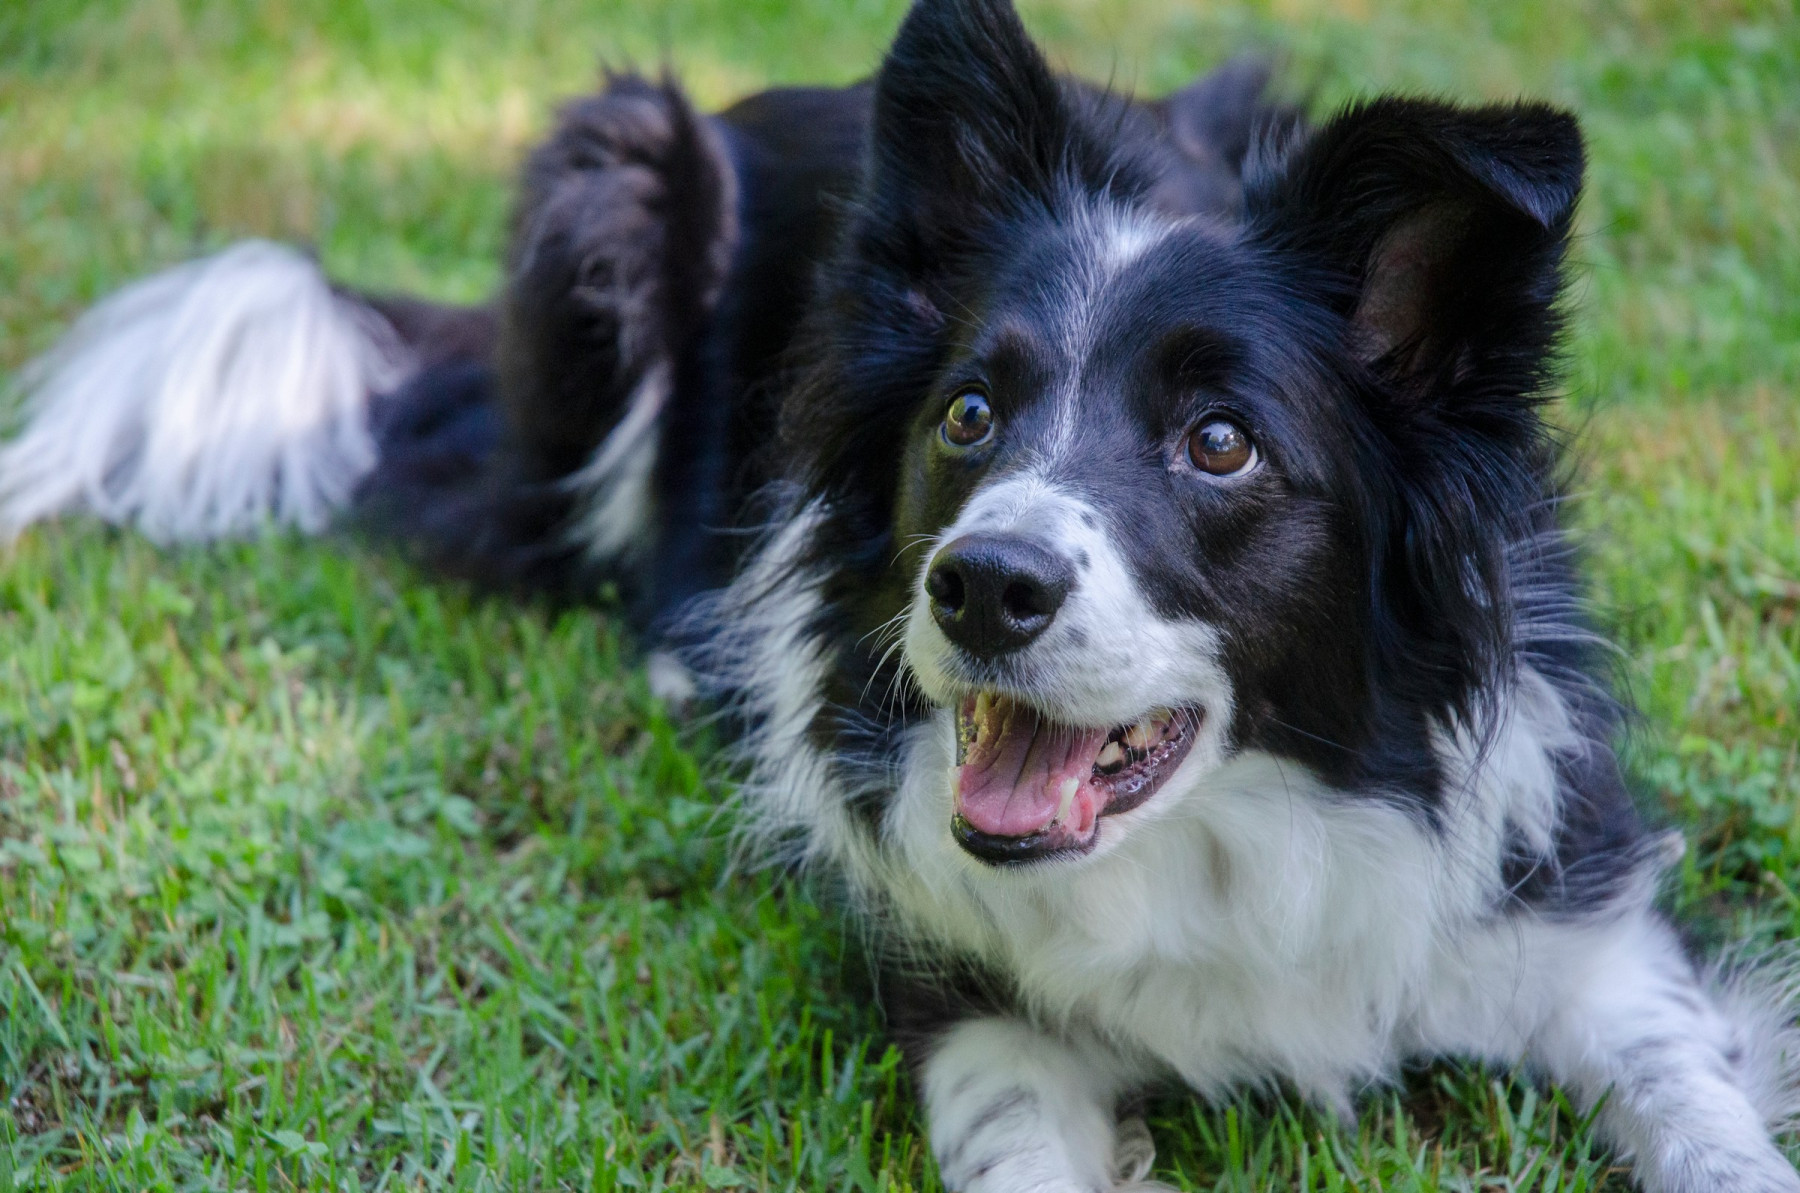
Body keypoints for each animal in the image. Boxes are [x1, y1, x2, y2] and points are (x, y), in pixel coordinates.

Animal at [3, 4, 1800, 1187]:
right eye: (968, 416)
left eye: (1221, 442)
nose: (984, 584)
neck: (1242, 833)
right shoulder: (971, 997)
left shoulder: (1581, 917)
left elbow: (1699, 1101)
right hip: (617, 176)